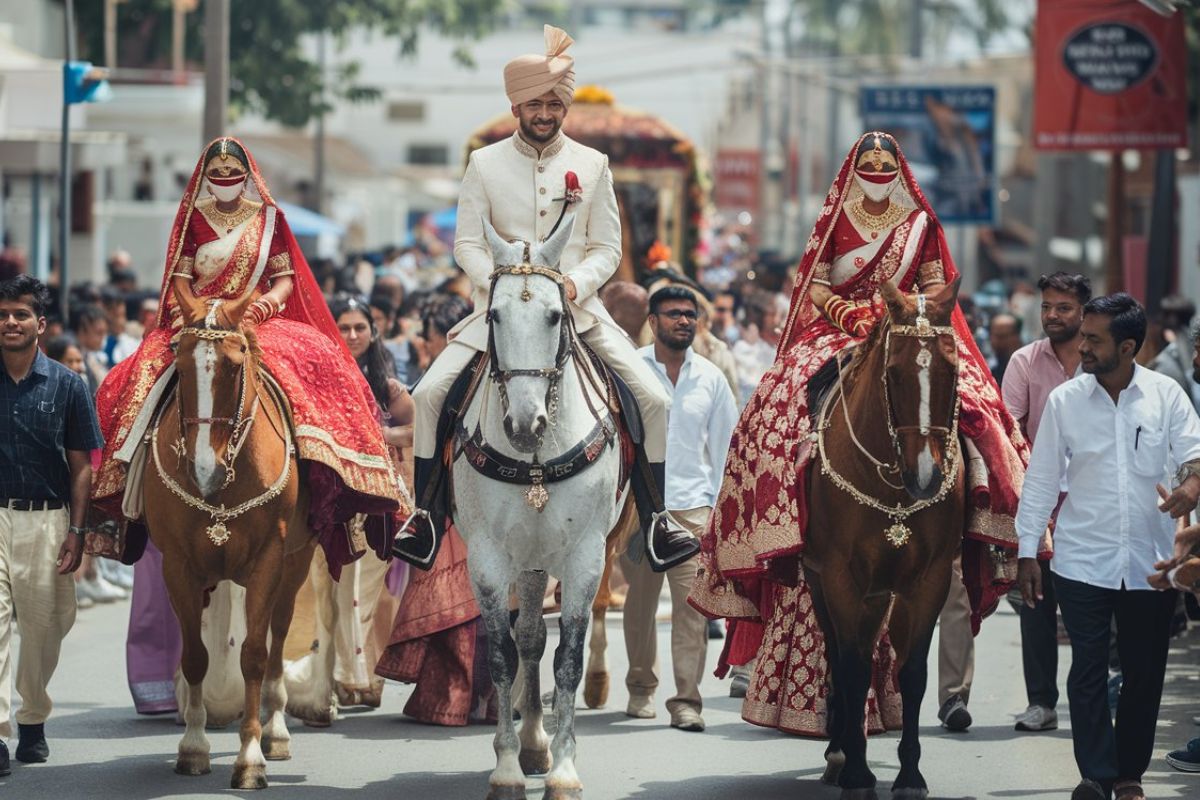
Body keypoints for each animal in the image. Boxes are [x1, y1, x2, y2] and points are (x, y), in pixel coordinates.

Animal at [145, 297, 316, 791]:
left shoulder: (269, 559)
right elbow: (195, 656)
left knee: (279, 631)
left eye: (235, 366)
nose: (205, 470)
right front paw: (193, 746)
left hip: (297, 560)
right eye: (179, 363)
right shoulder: (177, 566)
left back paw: (276, 732)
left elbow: (255, 655)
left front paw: (250, 757)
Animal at [453, 214, 624, 800]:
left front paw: (565, 772)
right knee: (527, 639)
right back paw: (529, 746)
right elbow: (502, 654)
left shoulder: (586, 557)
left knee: (540, 641)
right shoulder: (485, 559)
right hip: (525, 558)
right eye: (494, 314)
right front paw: (506, 767)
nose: (524, 425)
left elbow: (568, 658)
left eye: (554, 315)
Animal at [806, 278, 964, 796]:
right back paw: (838, 752)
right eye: (893, 374)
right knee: (837, 652)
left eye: (953, 372)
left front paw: (910, 774)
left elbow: (912, 672)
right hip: (819, 579)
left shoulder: (929, 579)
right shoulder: (839, 577)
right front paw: (857, 772)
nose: (926, 477)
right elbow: (853, 668)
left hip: (880, 593)